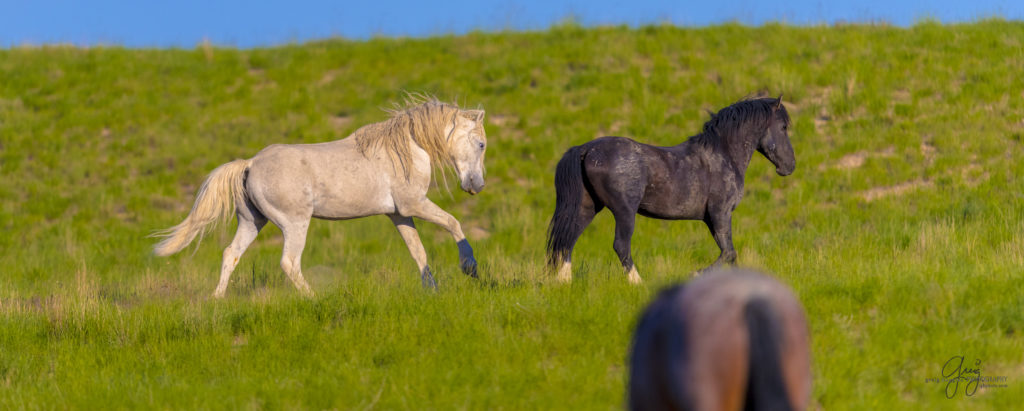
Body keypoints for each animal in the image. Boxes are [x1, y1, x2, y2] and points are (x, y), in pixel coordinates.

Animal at [153, 96, 485, 295]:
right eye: (481, 144)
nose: (477, 186)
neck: (406, 149)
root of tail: (250, 164)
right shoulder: (413, 204)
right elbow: (453, 223)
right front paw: (470, 269)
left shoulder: (398, 213)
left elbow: (418, 252)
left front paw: (432, 290)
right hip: (295, 223)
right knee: (289, 263)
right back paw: (313, 299)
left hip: (252, 222)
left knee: (230, 254)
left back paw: (217, 300)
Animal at [544, 96, 790, 282]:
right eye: (784, 127)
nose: (789, 166)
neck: (724, 155)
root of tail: (585, 149)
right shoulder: (721, 213)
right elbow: (729, 252)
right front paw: (694, 274)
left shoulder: (711, 219)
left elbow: (730, 254)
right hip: (624, 211)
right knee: (620, 245)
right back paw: (638, 283)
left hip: (587, 207)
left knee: (567, 240)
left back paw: (564, 282)